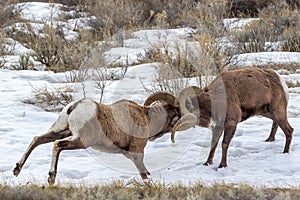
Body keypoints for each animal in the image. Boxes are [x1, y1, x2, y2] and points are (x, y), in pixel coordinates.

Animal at [14, 92, 189, 184]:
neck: (147, 118)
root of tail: (74, 107)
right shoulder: (137, 152)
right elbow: (144, 173)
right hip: (80, 141)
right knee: (57, 145)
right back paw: (51, 177)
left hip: (61, 130)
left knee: (37, 139)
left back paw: (17, 170)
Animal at [146, 67, 294, 169]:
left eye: (174, 116)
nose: (152, 135)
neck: (215, 100)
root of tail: (281, 81)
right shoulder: (217, 127)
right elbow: (213, 144)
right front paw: (207, 163)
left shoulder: (230, 124)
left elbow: (224, 144)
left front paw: (222, 166)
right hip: (268, 113)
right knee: (276, 125)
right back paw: (269, 140)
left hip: (277, 112)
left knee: (289, 130)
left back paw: (285, 153)